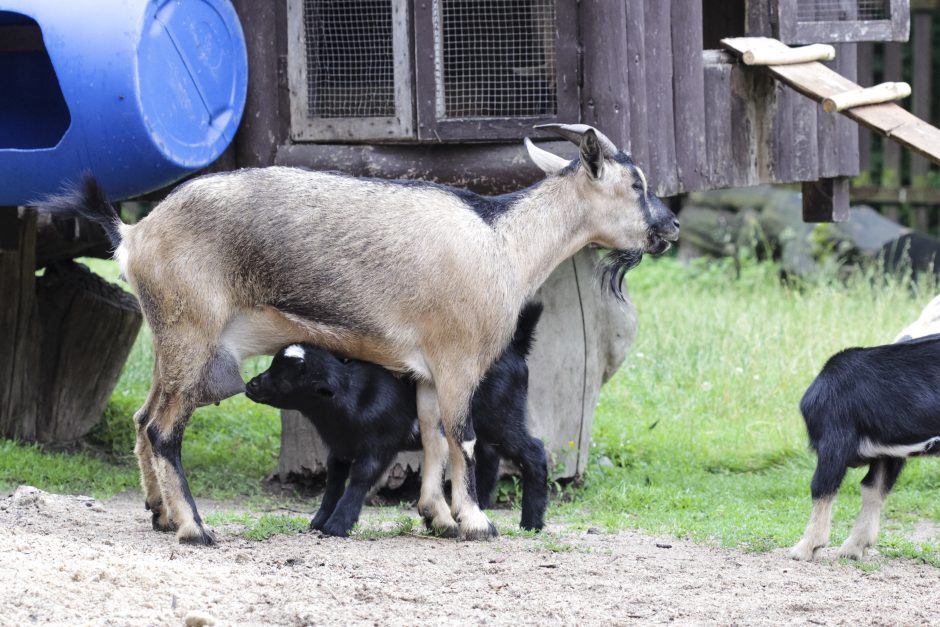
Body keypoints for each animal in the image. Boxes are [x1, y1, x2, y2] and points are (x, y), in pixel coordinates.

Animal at [44, 124, 680, 544]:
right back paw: (195, 529)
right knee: (161, 429)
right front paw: (476, 522)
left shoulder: (426, 370)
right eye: (636, 182)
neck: (504, 240)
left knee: (141, 417)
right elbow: (464, 438)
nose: (671, 226)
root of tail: (135, 236)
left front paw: (437, 517)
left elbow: (432, 438)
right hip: (192, 332)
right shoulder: (458, 360)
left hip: (171, 341)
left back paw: (159, 515)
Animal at [796, 336, 940, 560]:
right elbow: (873, 490)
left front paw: (805, 548)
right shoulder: (887, 454)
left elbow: (822, 488)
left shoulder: (835, 438)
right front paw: (854, 548)